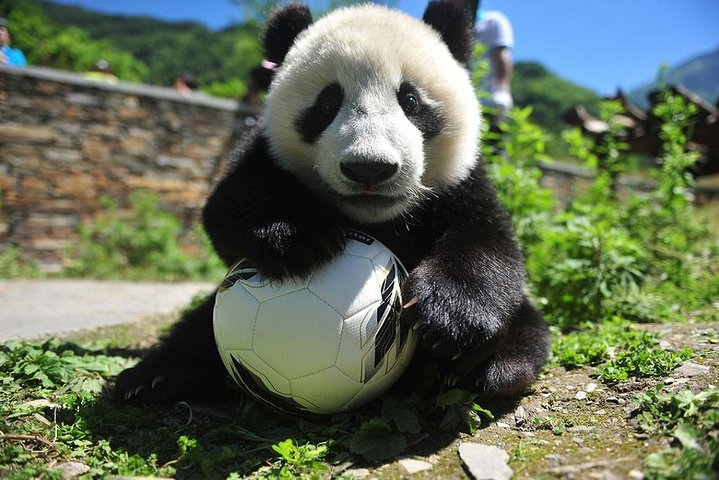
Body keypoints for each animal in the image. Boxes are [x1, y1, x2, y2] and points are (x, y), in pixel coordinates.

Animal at [114, 1, 550, 405]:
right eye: (327, 104)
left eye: (410, 101)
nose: (369, 168)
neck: (378, 218)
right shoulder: (262, 154)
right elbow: (226, 212)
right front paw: (300, 239)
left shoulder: (463, 183)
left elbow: (489, 244)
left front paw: (450, 320)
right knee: (197, 327)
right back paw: (154, 378)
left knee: (527, 321)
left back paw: (491, 367)